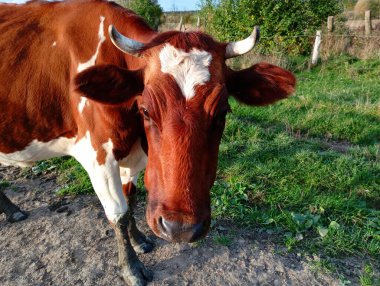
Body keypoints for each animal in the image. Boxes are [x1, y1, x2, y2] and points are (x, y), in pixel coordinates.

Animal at [0, 1, 296, 284]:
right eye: (145, 110)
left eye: (223, 111)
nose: (180, 228)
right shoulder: (97, 156)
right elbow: (118, 213)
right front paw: (131, 267)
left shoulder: (134, 157)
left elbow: (130, 200)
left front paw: (139, 239)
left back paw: (12, 212)